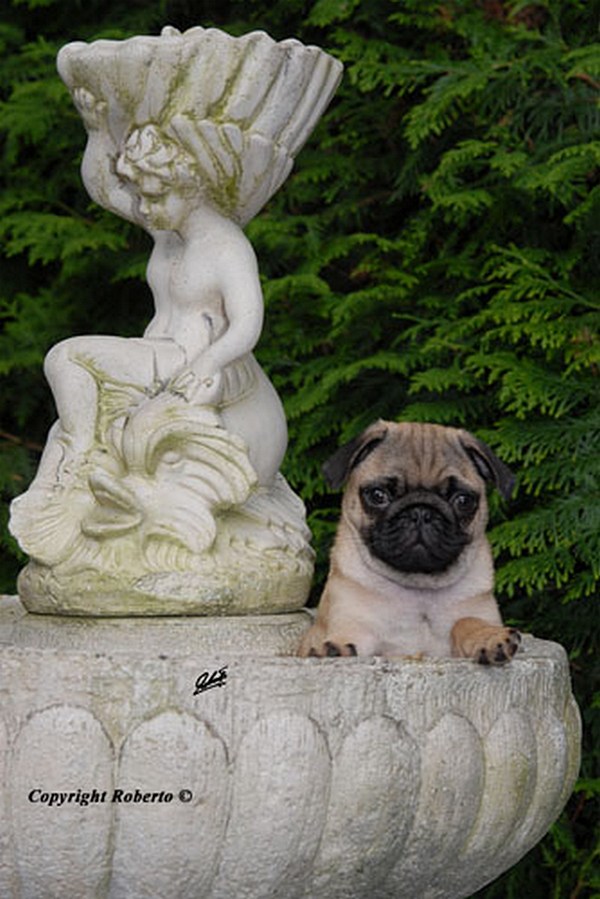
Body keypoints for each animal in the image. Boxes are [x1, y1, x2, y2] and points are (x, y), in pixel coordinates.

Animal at [300, 418, 520, 664]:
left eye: (463, 500)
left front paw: (487, 636)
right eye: (378, 495)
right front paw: (333, 648)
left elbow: (466, 621)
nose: (421, 512)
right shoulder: (353, 624)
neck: (419, 589)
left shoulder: (478, 613)